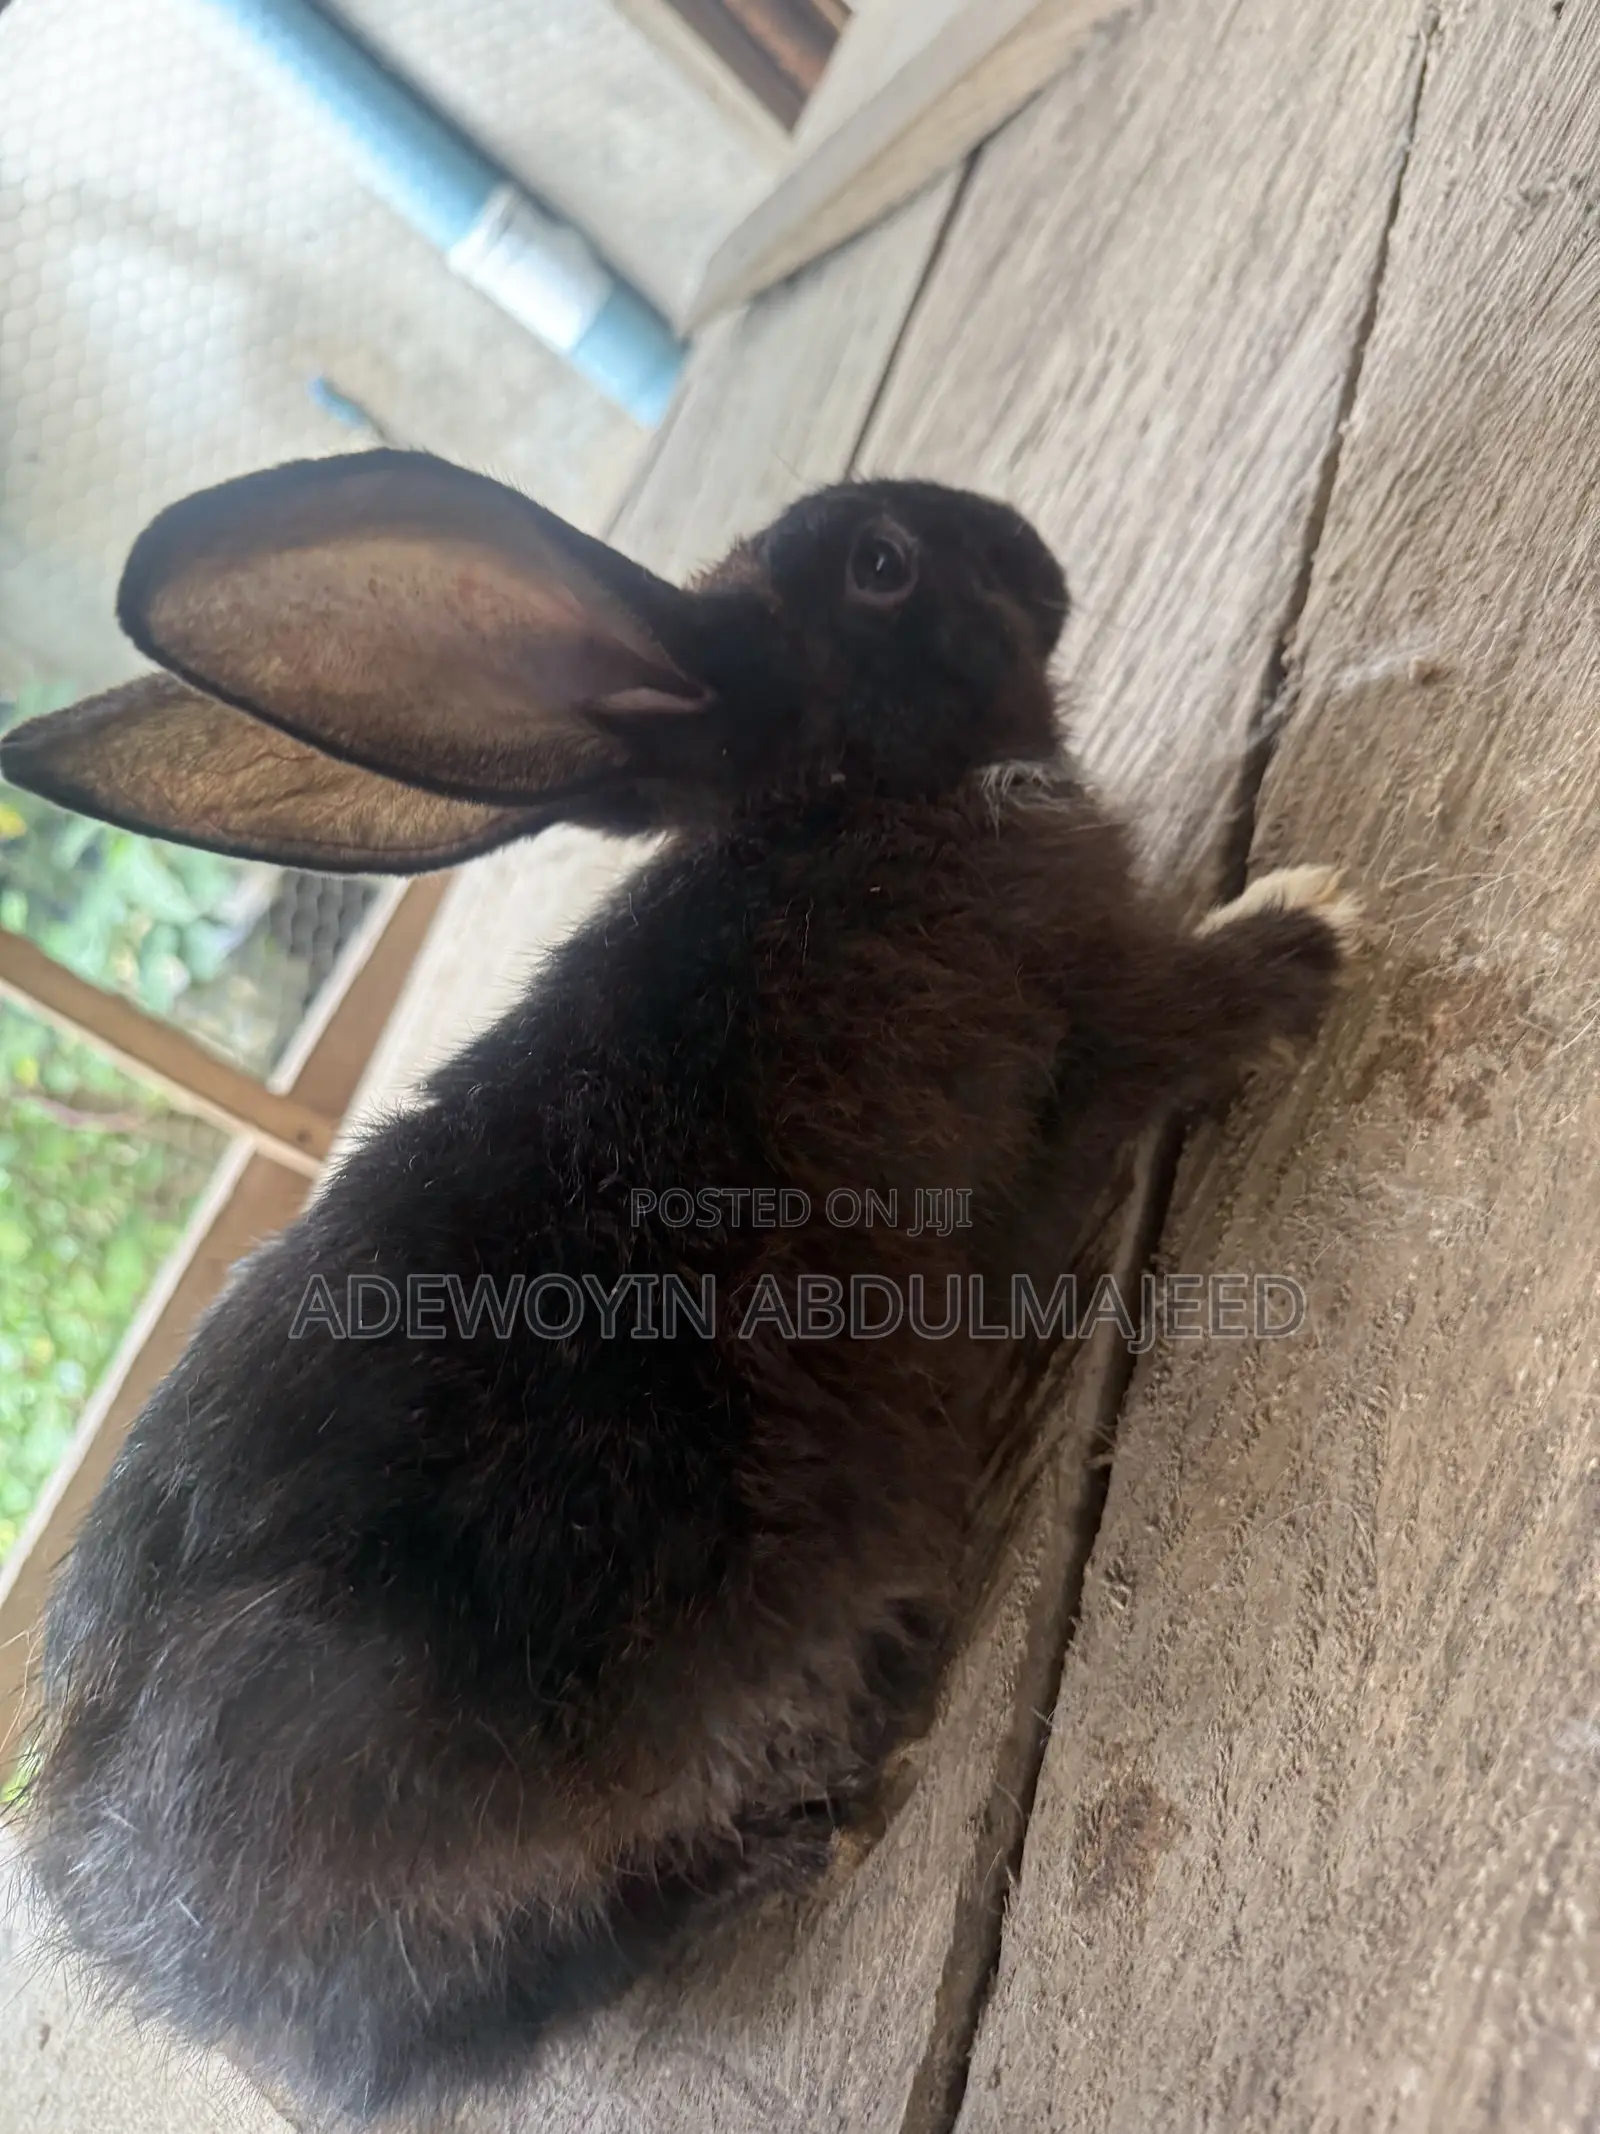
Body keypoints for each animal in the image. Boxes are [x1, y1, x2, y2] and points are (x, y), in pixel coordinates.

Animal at [0, 451, 1360, 2121]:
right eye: (884, 564)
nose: (1030, 550)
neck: (841, 799)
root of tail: (134, 1926)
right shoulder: (1096, 1005)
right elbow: (1186, 1015)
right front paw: (1314, 922)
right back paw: (819, 1819)